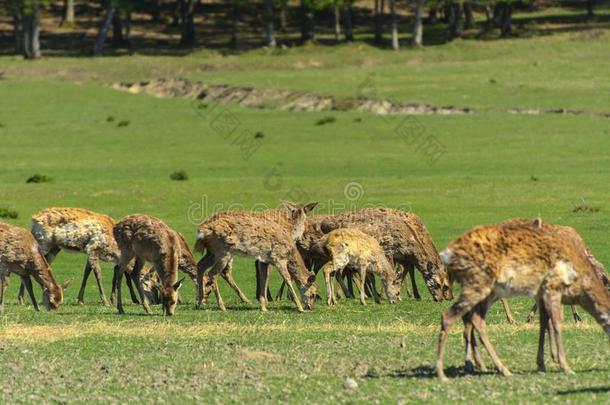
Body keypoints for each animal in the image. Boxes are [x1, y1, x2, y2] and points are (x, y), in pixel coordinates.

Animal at [434, 218, 608, 378]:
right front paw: (558, 360)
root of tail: (448, 256)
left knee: (469, 318)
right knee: (465, 317)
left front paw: (546, 360)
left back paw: (477, 364)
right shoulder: (550, 289)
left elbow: (545, 322)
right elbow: (554, 322)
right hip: (484, 288)